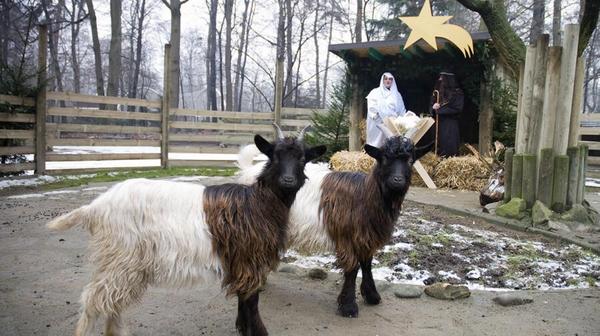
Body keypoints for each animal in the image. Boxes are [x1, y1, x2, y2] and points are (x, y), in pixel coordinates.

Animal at [47, 126, 326, 336]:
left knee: (111, 300)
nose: (288, 180)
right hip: (120, 257)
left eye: (303, 158)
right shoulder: (250, 261)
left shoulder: (240, 262)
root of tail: (95, 207)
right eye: (274, 156)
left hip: (125, 264)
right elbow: (251, 302)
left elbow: (244, 301)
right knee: (94, 299)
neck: (257, 203)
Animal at [237, 126, 428, 318]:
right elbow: (352, 269)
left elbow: (367, 264)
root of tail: (249, 170)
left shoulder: (365, 237)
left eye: (410, 160)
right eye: (385, 158)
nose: (397, 180)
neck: (364, 194)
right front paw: (349, 306)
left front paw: (372, 296)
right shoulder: (346, 237)